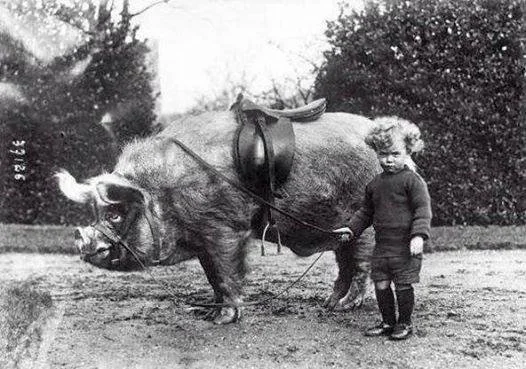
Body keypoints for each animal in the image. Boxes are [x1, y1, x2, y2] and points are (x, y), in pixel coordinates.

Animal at [56, 108, 380, 322]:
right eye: (96, 212)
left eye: (115, 214)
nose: (81, 240)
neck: (166, 191)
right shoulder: (202, 238)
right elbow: (212, 275)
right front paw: (206, 312)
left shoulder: (224, 228)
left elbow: (226, 272)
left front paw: (223, 319)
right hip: (340, 229)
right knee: (344, 266)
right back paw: (329, 304)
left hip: (364, 225)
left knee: (360, 265)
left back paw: (346, 307)